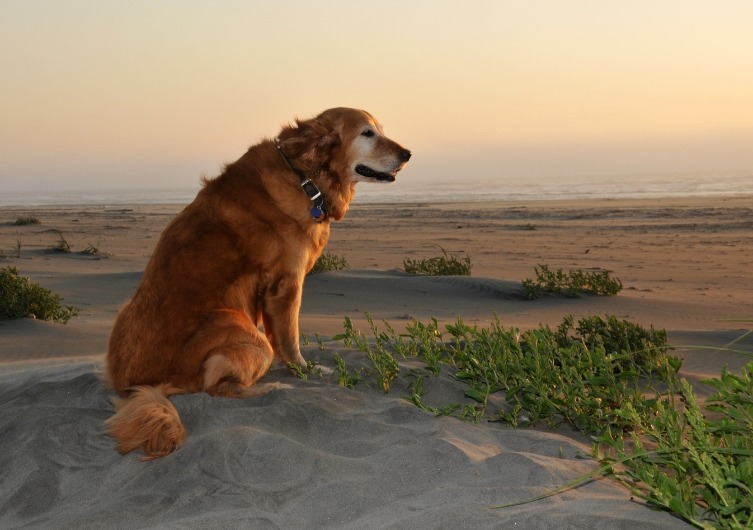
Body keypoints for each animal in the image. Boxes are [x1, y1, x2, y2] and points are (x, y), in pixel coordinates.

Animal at [104, 108, 412, 458]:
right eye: (367, 133)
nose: (407, 154)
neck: (305, 177)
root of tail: (135, 387)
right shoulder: (286, 285)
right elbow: (290, 339)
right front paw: (304, 371)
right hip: (245, 332)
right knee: (217, 387)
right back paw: (271, 387)